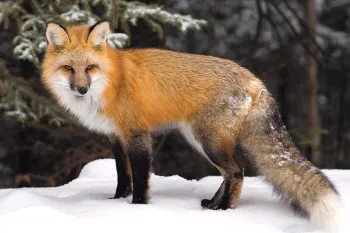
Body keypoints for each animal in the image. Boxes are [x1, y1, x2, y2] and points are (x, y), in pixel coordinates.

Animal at [41, 20, 342, 232]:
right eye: (69, 68)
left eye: (90, 67)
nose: (81, 89)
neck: (111, 83)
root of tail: (256, 81)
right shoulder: (115, 137)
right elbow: (122, 177)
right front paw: (115, 203)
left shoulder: (137, 134)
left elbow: (140, 178)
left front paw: (138, 209)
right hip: (201, 140)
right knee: (230, 173)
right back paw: (212, 204)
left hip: (207, 141)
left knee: (237, 173)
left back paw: (225, 211)